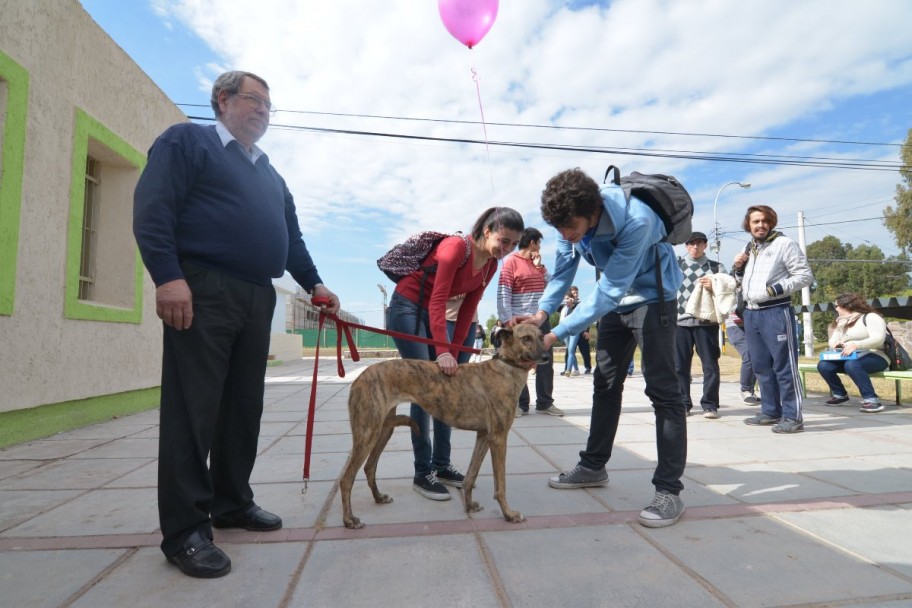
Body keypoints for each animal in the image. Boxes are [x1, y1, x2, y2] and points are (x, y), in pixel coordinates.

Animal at [340, 324, 540, 528]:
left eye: (541, 336)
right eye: (526, 338)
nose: (546, 356)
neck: (506, 368)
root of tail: (358, 379)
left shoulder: (484, 435)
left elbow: (470, 476)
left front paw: (469, 505)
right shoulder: (499, 439)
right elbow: (500, 485)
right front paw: (509, 514)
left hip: (383, 430)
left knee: (369, 467)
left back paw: (379, 497)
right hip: (367, 434)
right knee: (346, 478)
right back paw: (349, 519)